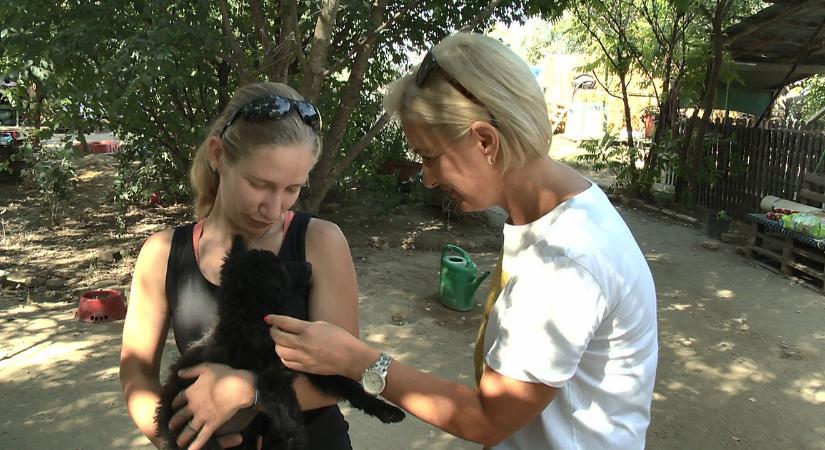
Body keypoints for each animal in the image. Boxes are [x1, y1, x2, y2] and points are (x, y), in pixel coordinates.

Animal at [156, 234, 404, 448]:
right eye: (282, 266)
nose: (310, 266)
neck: (251, 326)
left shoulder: (309, 364)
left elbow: (350, 386)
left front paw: (385, 410)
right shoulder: (273, 383)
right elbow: (292, 423)